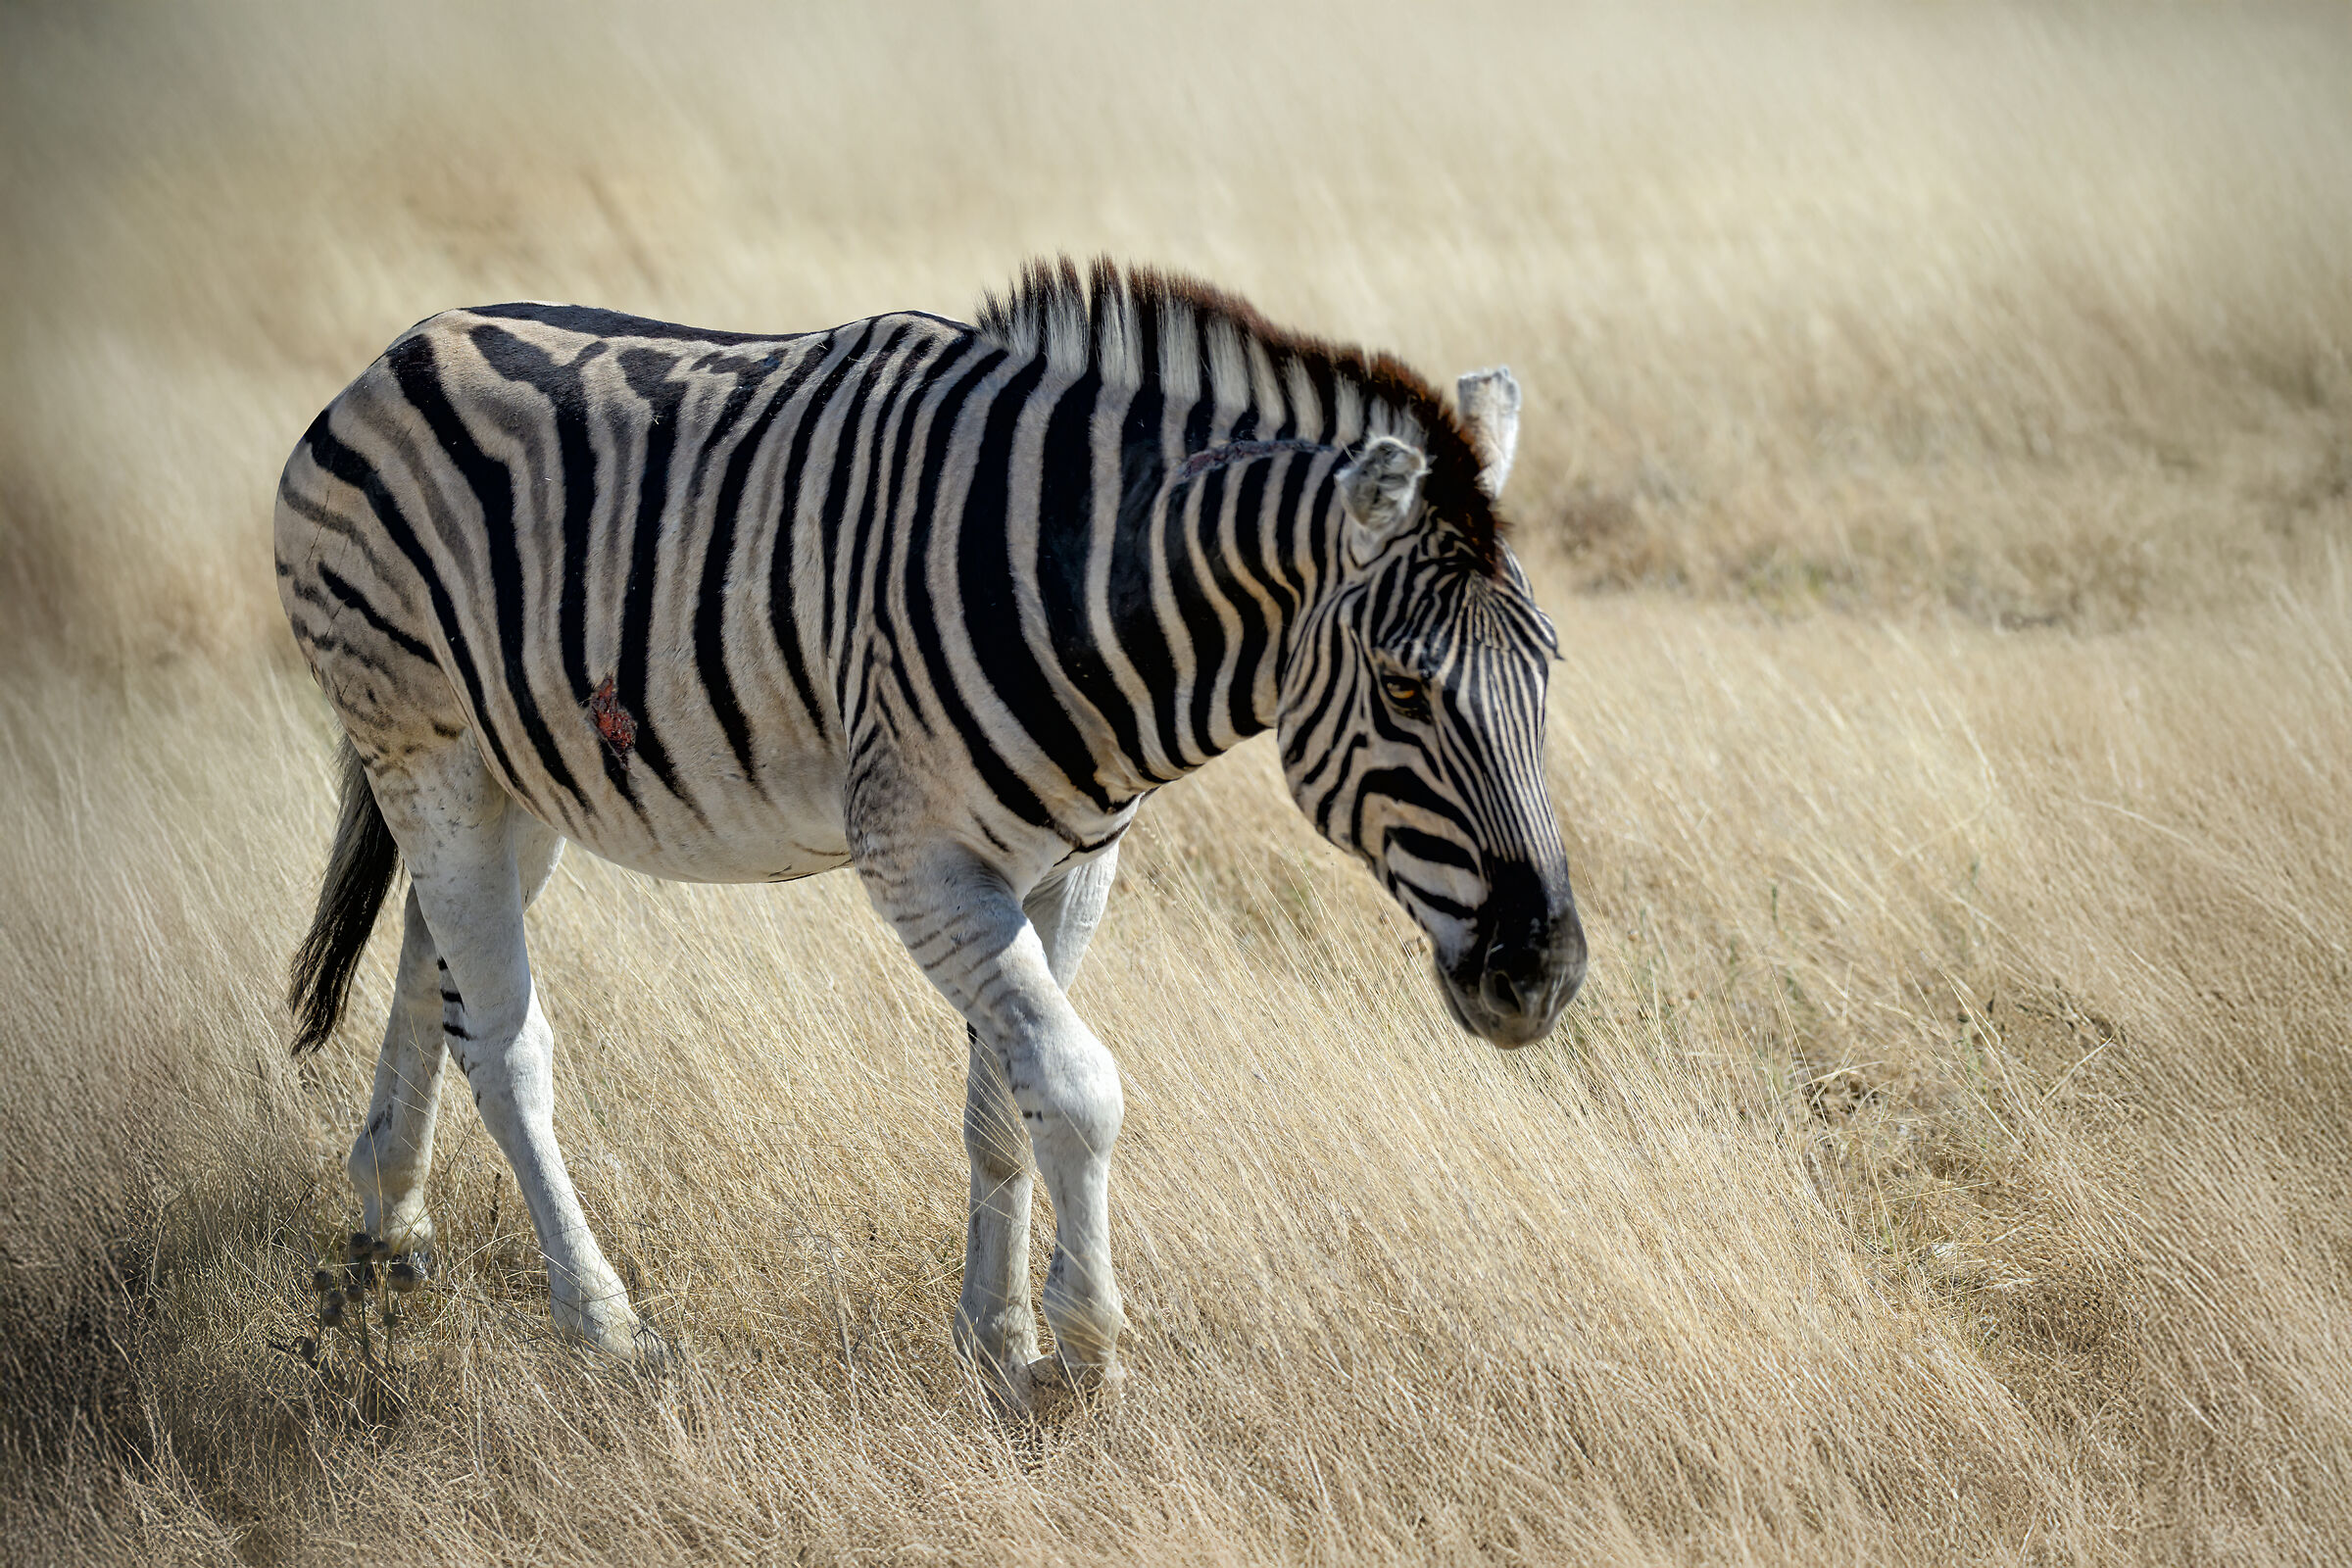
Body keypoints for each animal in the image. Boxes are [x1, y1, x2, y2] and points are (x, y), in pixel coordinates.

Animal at [275, 258, 1586, 1404]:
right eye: (1406, 689)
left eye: (1550, 674)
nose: (1547, 973)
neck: (1080, 584)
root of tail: (401, 349)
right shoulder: (920, 858)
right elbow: (1079, 1085)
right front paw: (1082, 1357)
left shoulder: (1073, 867)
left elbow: (1006, 1106)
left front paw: (996, 1340)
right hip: (425, 746)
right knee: (507, 1044)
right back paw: (602, 1325)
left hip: (514, 778)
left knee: (430, 976)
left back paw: (391, 1222)